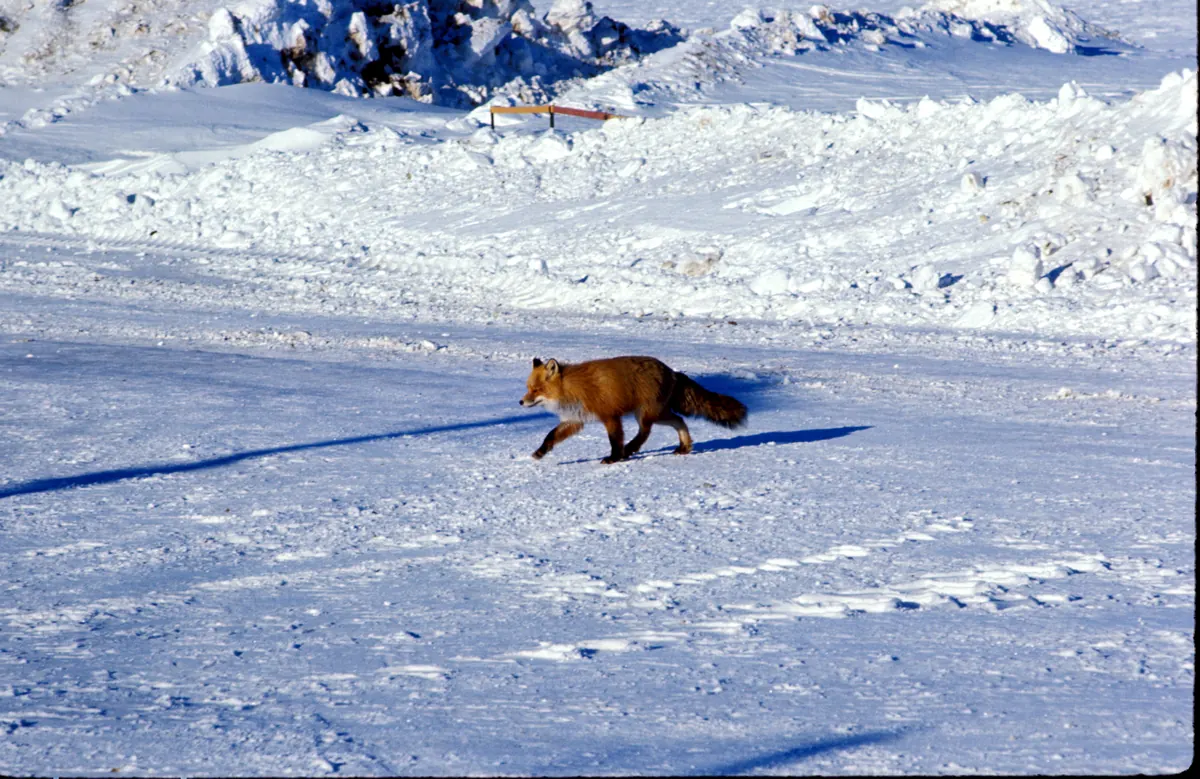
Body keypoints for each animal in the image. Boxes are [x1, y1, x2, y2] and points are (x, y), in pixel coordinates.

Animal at [519, 356, 747, 463]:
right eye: (528, 388)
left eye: (536, 390)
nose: (521, 402)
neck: (571, 388)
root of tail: (671, 371)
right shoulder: (574, 420)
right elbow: (550, 436)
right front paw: (540, 452)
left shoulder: (610, 416)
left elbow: (615, 440)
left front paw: (613, 458)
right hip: (657, 414)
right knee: (679, 421)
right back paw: (684, 447)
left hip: (645, 414)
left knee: (645, 433)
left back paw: (629, 450)